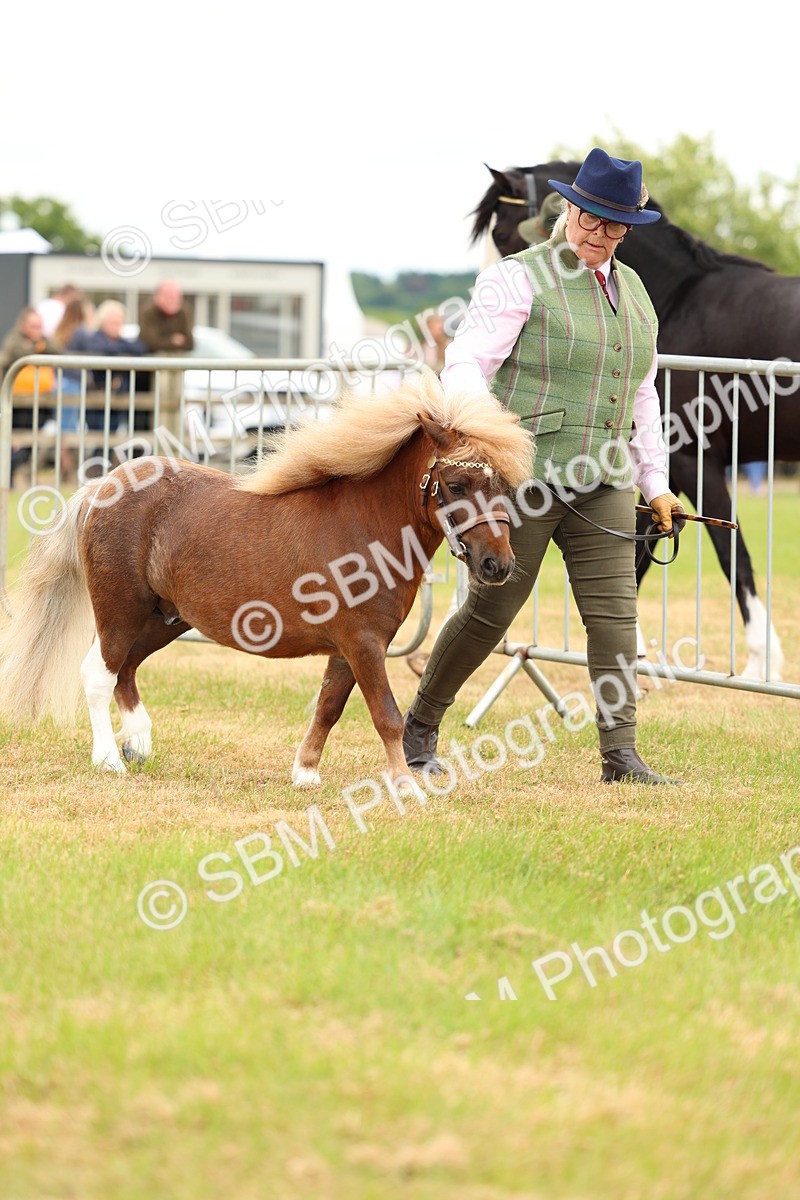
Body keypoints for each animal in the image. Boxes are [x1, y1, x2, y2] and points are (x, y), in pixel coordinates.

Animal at [0, 371, 533, 785]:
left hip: (164, 618)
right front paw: (404, 784)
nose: (498, 565)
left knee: (125, 670)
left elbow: (329, 706)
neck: (365, 525)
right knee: (99, 673)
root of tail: (100, 486)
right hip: (119, 610)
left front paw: (306, 773)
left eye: (504, 485)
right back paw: (110, 759)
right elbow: (385, 715)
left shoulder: (352, 645)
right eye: (456, 484)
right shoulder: (364, 643)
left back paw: (139, 743)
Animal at [470, 160, 800, 680]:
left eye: (502, 233)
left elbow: (731, 555)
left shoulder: (691, 458)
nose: (485, 307)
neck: (682, 298)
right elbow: (643, 549)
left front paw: (760, 662)